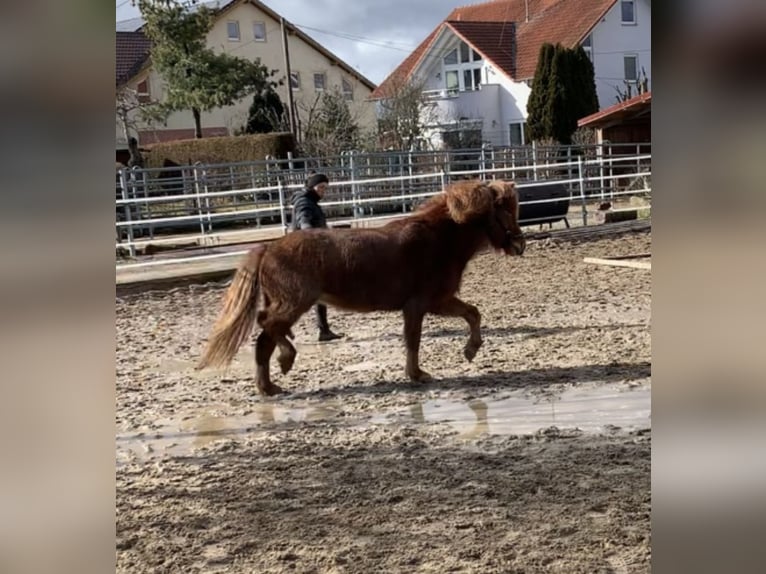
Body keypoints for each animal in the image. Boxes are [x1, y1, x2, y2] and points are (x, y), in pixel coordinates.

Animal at [197, 179, 526, 396]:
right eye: (504, 210)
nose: (520, 244)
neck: (437, 240)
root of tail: (267, 248)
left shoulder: (439, 300)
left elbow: (473, 313)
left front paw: (470, 351)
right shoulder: (419, 304)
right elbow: (414, 340)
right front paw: (418, 374)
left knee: (266, 337)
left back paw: (270, 384)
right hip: (294, 303)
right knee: (267, 326)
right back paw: (284, 362)